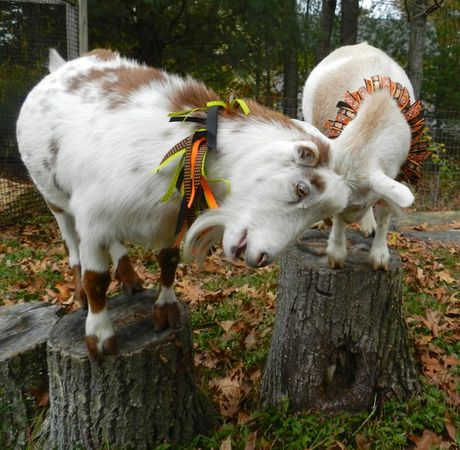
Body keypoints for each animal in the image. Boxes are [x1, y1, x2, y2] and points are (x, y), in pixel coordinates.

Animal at [18, 47, 348, 354]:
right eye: (302, 189)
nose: (261, 258)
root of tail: (61, 66)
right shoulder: (92, 217)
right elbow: (96, 278)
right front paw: (100, 338)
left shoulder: (171, 216)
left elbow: (168, 260)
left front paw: (166, 311)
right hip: (55, 198)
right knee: (70, 242)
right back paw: (82, 294)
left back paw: (130, 278)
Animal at [302, 42, 428, 268]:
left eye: (360, 204)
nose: (350, 220)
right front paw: (336, 253)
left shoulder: (399, 171)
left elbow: (385, 210)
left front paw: (380, 255)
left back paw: (368, 224)